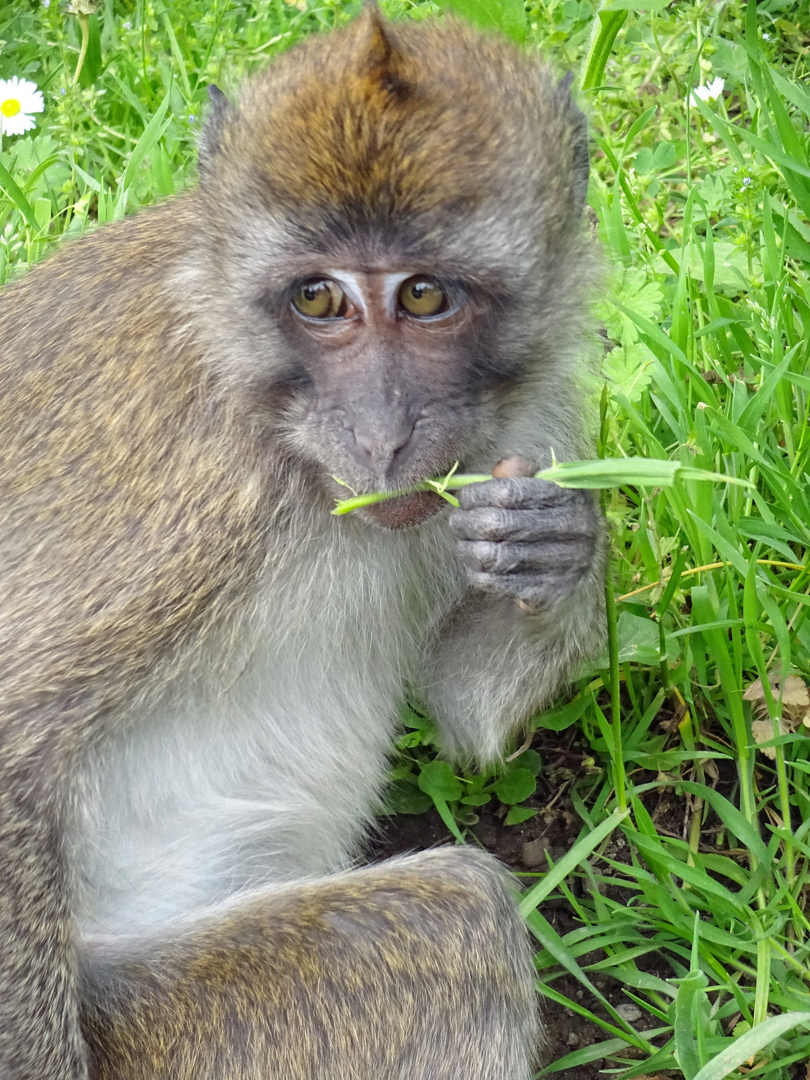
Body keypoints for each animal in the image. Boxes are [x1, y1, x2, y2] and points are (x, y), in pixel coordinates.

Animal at [0, 4, 604, 1075]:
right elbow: (11, 733)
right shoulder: (187, 490)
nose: (381, 433)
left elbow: (466, 712)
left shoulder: (533, 428)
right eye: (317, 299)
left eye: (424, 296)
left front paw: (555, 549)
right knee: (458, 921)